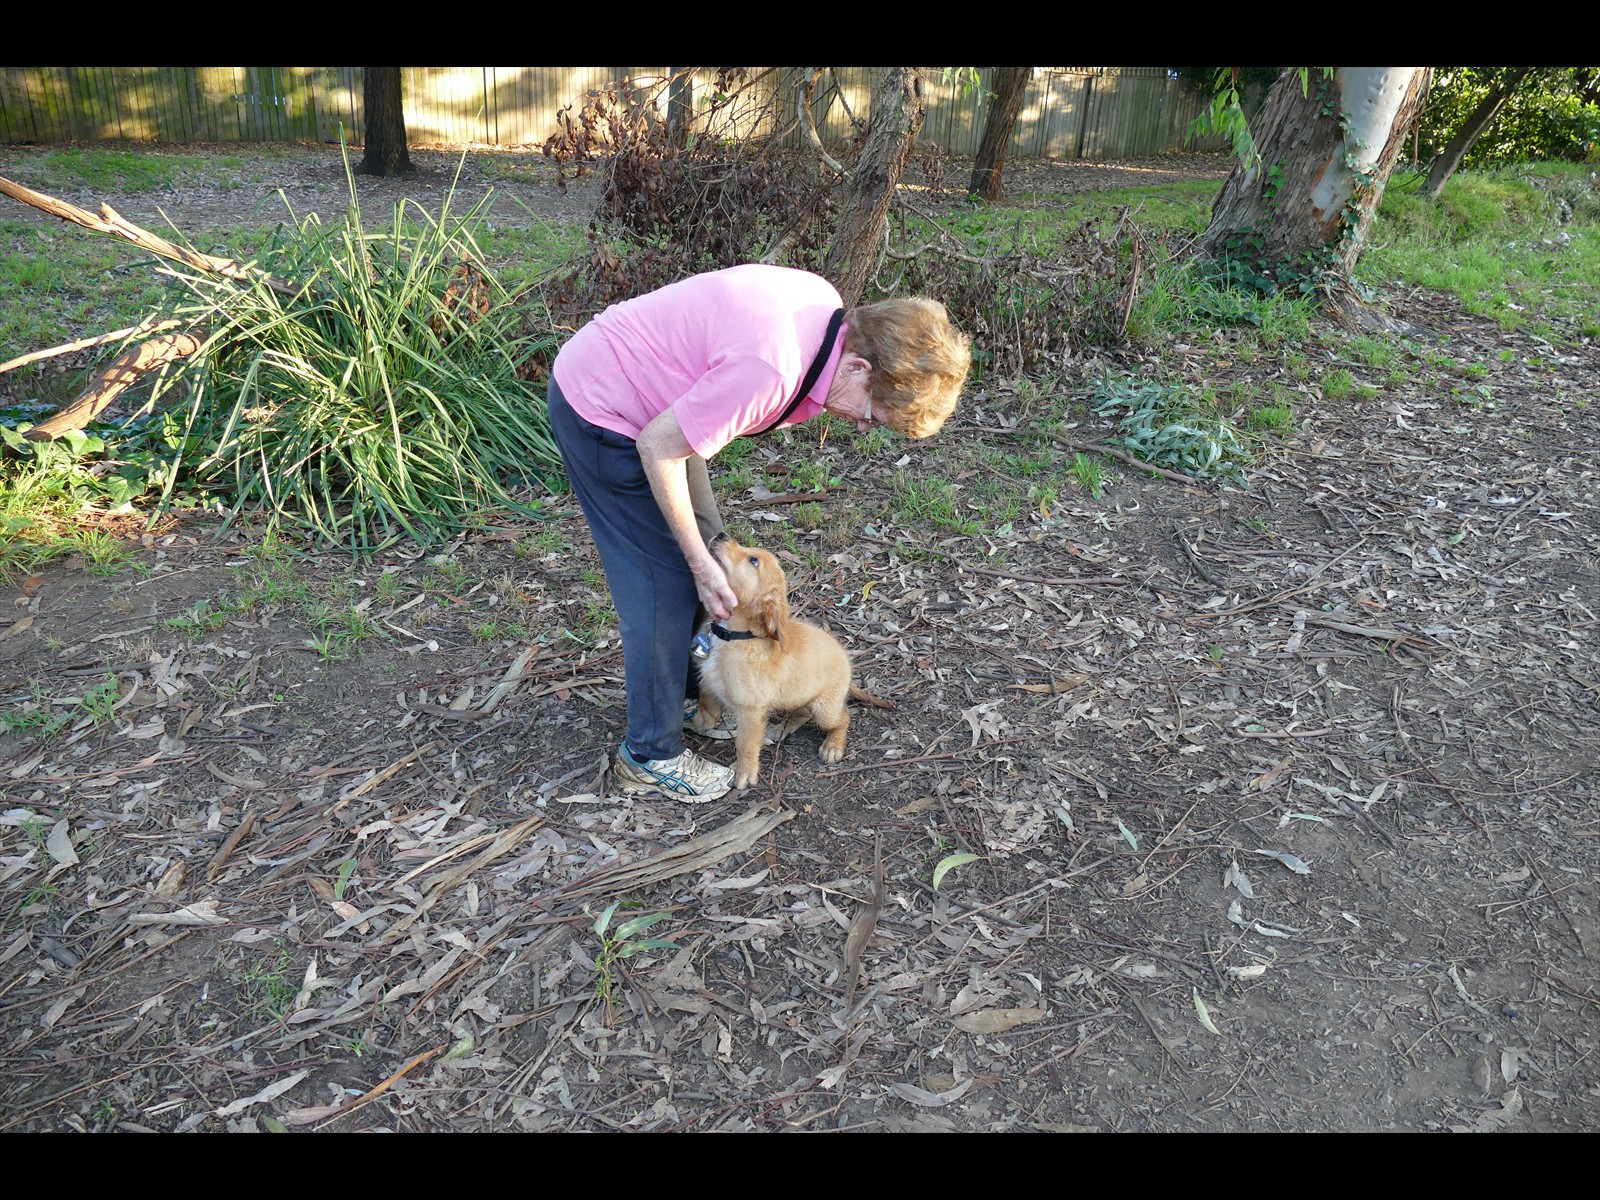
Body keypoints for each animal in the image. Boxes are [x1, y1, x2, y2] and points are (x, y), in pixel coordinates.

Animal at [691, 534, 889, 790]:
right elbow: (706, 697)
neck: (735, 636)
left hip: (824, 709)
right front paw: (702, 720)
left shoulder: (751, 710)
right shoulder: (710, 679)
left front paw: (744, 772)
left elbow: (745, 743)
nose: (722, 535)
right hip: (794, 697)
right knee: (803, 713)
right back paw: (780, 728)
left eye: (753, 561)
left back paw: (833, 745)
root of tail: (847, 666)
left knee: (843, 717)